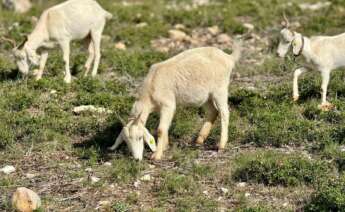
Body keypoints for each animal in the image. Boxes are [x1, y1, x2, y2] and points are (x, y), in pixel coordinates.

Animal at [109, 44, 241, 161]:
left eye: (140, 137)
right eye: (126, 141)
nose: (136, 159)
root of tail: (228, 57)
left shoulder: (168, 105)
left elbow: (160, 130)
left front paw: (157, 155)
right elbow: (165, 128)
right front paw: (165, 147)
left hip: (220, 90)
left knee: (224, 113)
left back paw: (221, 144)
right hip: (206, 96)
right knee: (212, 112)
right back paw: (199, 139)